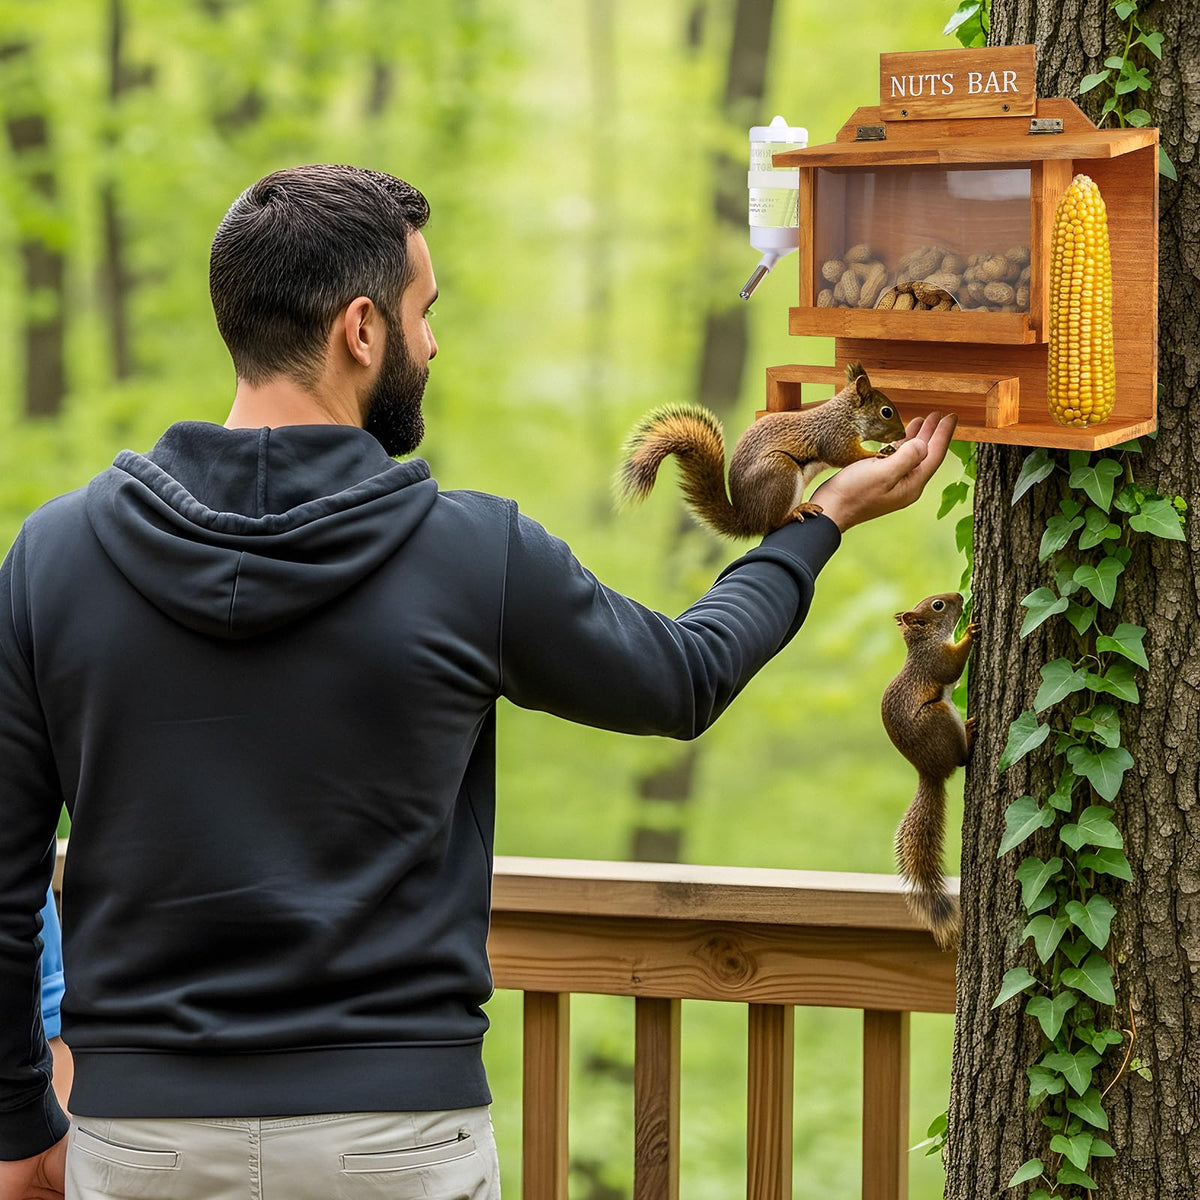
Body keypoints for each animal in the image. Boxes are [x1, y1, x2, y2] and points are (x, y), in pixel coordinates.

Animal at [615, 362, 906, 538]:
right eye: (886, 412)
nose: (903, 435)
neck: (846, 415)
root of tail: (747, 519)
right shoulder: (833, 436)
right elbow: (845, 456)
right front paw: (876, 454)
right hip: (780, 472)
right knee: (772, 525)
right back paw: (796, 512)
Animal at [880, 592, 978, 951]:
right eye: (938, 605)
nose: (960, 596)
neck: (924, 641)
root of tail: (929, 773)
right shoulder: (934, 661)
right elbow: (952, 665)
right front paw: (971, 631)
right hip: (938, 717)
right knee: (961, 761)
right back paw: (970, 735)